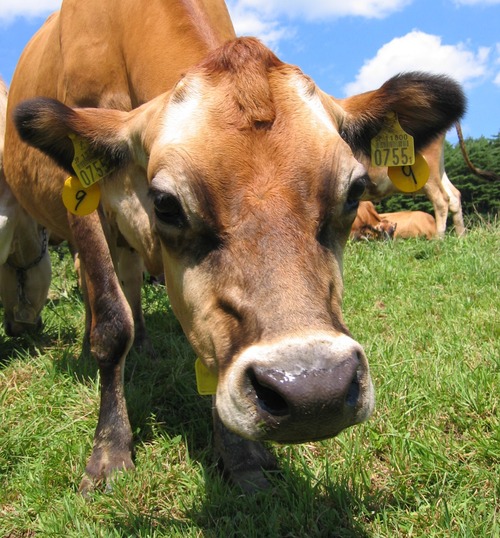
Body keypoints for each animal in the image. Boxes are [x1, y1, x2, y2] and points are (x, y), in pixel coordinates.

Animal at [2, 0, 464, 492]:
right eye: (166, 204)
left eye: (354, 190)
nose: (314, 390)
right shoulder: (81, 195)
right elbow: (111, 325)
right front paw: (109, 454)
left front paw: (240, 456)